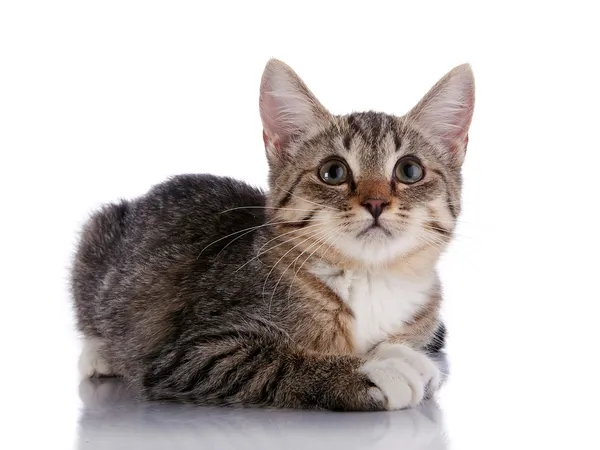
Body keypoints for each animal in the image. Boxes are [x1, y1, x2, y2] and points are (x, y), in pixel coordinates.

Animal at [71, 59, 474, 412]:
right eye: (333, 172)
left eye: (409, 170)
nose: (375, 202)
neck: (369, 278)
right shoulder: (188, 353)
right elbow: (272, 362)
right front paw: (373, 370)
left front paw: (399, 353)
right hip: (97, 237)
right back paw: (98, 353)